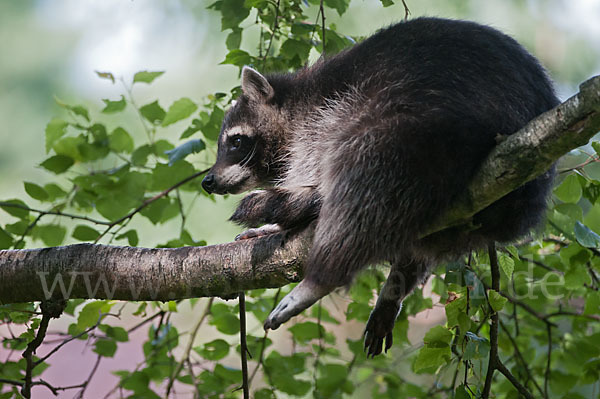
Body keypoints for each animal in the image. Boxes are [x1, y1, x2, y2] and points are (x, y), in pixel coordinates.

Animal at [202, 17, 556, 358]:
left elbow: (320, 181)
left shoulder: (320, 119)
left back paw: (321, 277)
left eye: (235, 142)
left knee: (365, 174)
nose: (208, 181)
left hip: (424, 126)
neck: (295, 103)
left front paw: (287, 215)